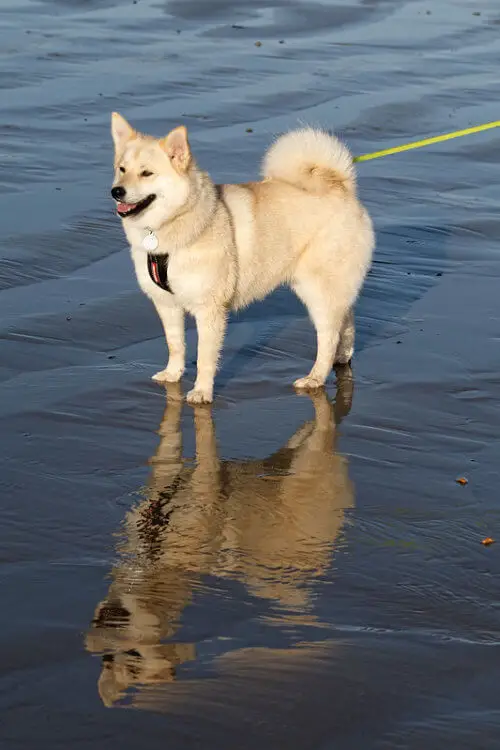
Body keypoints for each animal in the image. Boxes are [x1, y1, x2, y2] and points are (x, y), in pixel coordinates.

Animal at [110, 113, 376, 406]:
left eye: (146, 173)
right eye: (122, 169)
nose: (116, 191)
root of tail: (340, 186)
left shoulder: (210, 310)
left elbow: (204, 357)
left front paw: (202, 391)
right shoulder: (167, 303)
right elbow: (175, 343)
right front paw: (173, 373)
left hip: (316, 290)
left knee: (328, 336)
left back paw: (316, 376)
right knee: (346, 320)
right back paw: (343, 357)